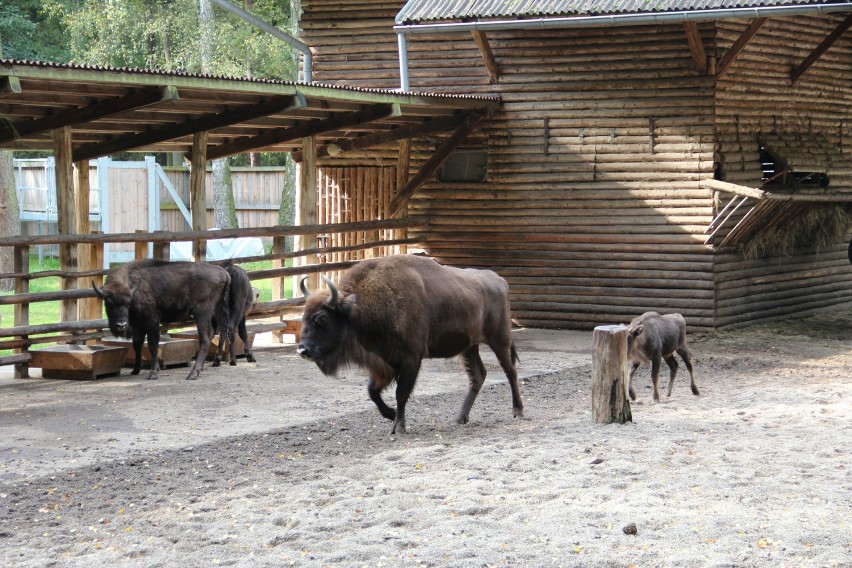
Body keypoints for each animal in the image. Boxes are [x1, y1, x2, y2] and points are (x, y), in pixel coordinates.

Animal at [93, 260, 230, 382]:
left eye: (127, 303)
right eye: (108, 303)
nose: (121, 325)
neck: (134, 288)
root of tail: (222, 272)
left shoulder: (152, 321)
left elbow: (152, 345)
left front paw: (153, 373)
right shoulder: (139, 326)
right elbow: (137, 345)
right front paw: (135, 370)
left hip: (202, 313)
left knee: (205, 338)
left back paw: (193, 374)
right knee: (213, 333)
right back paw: (199, 369)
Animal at [296, 254, 524, 434]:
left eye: (322, 319)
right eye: (303, 317)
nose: (302, 350)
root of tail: (499, 280)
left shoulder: (410, 359)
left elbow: (401, 393)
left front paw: (398, 426)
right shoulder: (384, 363)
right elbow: (372, 391)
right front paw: (391, 415)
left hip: (499, 340)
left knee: (510, 371)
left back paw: (517, 411)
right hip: (469, 347)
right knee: (478, 375)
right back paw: (460, 418)